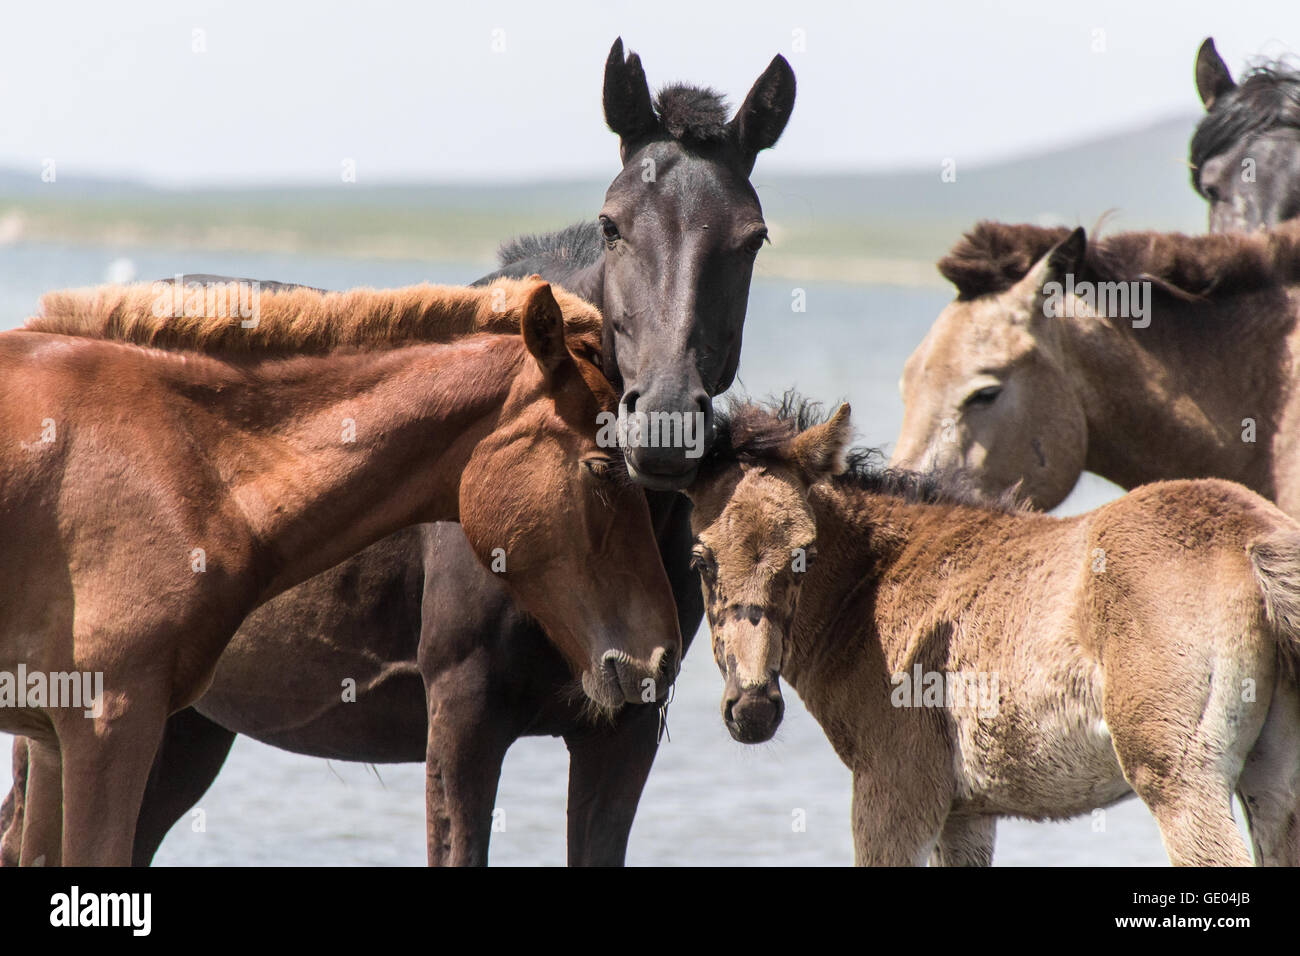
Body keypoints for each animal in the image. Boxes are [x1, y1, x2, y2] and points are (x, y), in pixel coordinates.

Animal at [686, 395, 1300, 868]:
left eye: (804, 555)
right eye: (702, 560)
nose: (753, 709)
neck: (874, 585)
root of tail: (1249, 536)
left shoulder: (896, 786)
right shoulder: (967, 813)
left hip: (1180, 780)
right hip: (1273, 786)